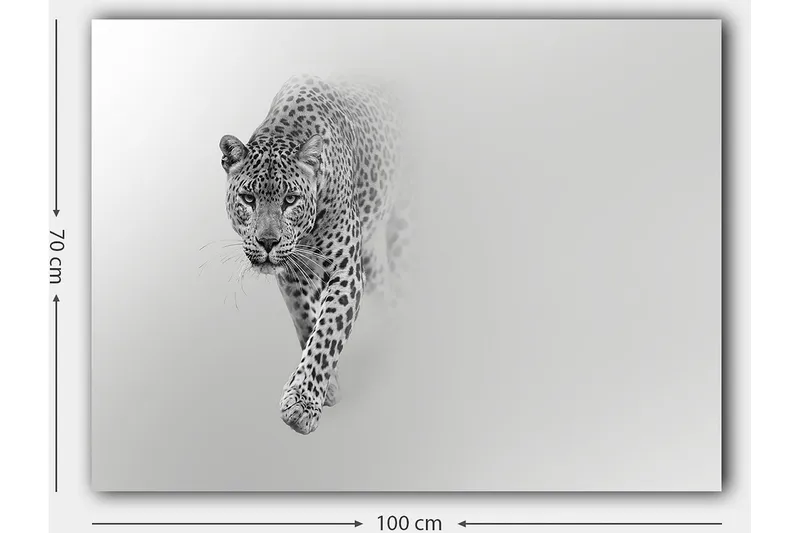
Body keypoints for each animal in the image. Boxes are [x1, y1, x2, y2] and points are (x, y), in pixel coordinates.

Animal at [218, 75, 408, 435]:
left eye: (290, 199)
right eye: (248, 198)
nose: (267, 242)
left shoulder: (347, 273)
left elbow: (328, 331)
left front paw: (303, 403)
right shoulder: (293, 275)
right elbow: (307, 322)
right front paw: (327, 386)